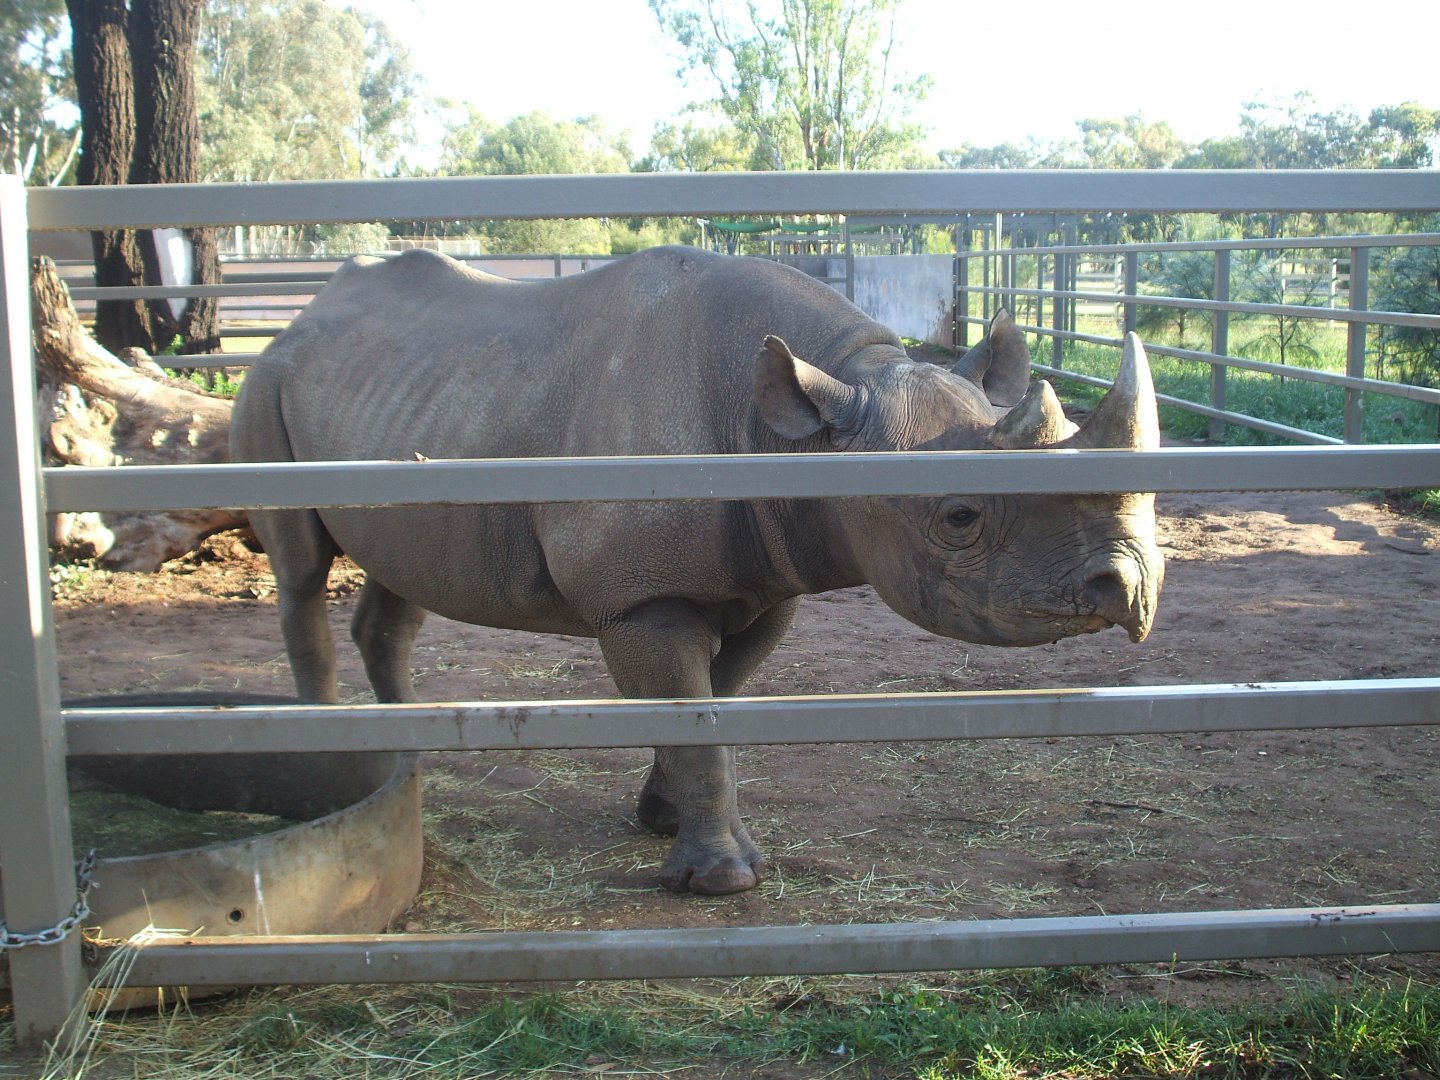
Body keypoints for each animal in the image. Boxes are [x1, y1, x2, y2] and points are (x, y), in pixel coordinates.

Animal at [231, 245, 1163, 895]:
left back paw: (408, 754)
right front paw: (720, 881)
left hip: (404, 400)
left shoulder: (764, 579)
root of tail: (299, 317)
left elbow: (716, 696)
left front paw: (662, 816)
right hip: (266, 385)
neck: (809, 431)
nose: (1130, 590)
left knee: (396, 580)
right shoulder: (641, 598)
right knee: (302, 570)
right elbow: (695, 708)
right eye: (959, 518)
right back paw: (328, 754)